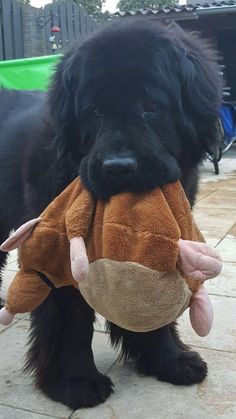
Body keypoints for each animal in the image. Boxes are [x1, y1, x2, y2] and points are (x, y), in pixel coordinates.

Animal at [0, 18, 221, 408]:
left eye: (151, 104)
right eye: (95, 112)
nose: (118, 167)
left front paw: (168, 360)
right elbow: (70, 318)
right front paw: (75, 381)